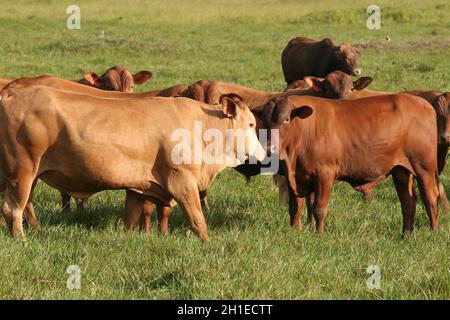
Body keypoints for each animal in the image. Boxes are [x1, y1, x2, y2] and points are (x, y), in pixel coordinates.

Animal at [0, 85, 266, 240]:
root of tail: (9, 94)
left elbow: (133, 217)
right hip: (22, 172)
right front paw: (207, 243)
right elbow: (198, 220)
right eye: (251, 123)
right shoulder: (182, 182)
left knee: (25, 206)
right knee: (13, 209)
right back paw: (21, 239)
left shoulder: (138, 188)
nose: (264, 155)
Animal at [255, 94, 442, 234]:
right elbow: (295, 207)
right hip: (401, 171)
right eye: (265, 120)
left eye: (286, 119)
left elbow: (319, 209)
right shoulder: (295, 177)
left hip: (424, 168)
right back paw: (406, 235)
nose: (270, 147)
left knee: (430, 199)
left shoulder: (324, 174)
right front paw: (294, 231)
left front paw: (319, 234)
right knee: (408, 202)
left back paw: (434, 232)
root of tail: (424, 103)